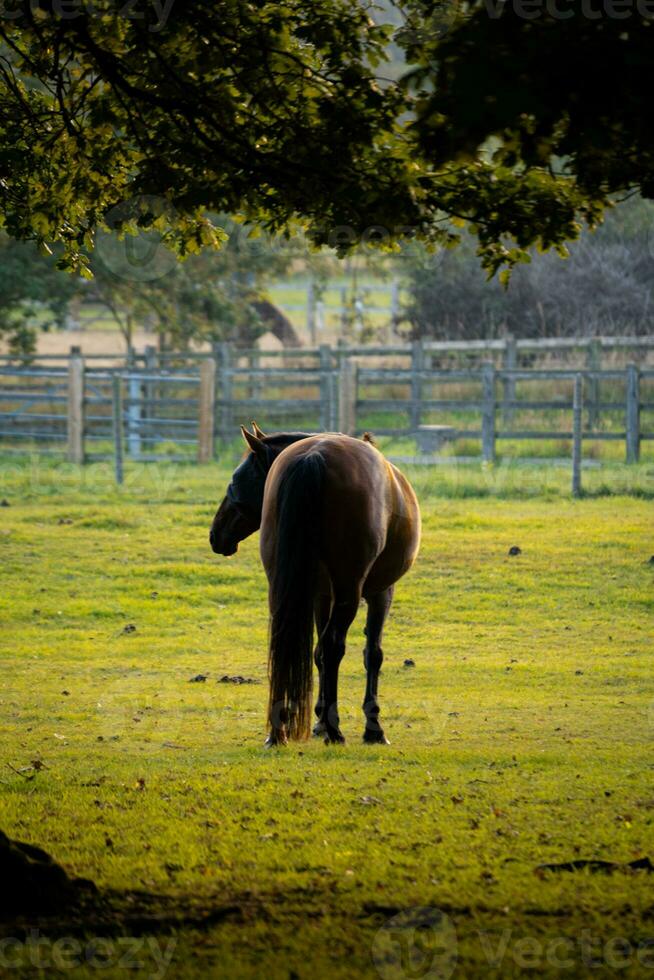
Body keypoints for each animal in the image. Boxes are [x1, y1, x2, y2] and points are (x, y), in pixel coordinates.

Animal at [213, 424, 422, 752]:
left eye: (234, 484)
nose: (215, 535)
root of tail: (314, 457)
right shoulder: (381, 592)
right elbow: (371, 653)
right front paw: (371, 728)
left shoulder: (320, 595)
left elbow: (317, 654)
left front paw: (320, 720)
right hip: (350, 593)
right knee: (334, 645)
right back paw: (336, 732)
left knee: (287, 644)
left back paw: (278, 732)